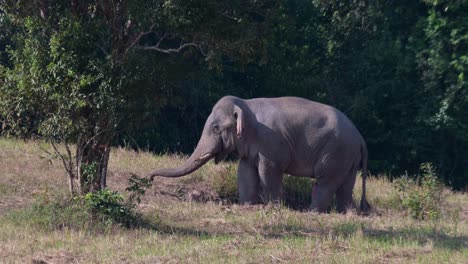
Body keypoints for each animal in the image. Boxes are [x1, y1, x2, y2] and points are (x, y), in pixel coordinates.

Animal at [148, 96, 372, 213]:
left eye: (215, 128)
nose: (150, 177)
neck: (246, 105)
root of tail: (361, 137)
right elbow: (245, 172)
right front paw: (246, 205)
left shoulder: (271, 143)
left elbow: (268, 172)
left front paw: (273, 207)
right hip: (348, 157)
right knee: (345, 185)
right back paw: (346, 212)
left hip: (336, 151)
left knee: (325, 182)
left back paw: (313, 212)